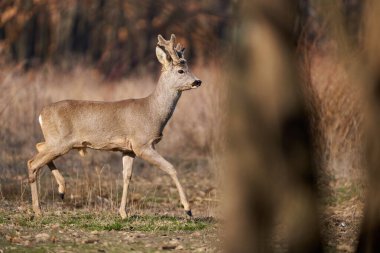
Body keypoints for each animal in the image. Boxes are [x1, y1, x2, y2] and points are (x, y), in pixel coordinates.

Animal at [27, 34, 202, 218]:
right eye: (181, 70)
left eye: (188, 67)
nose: (198, 81)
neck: (151, 111)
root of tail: (41, 114)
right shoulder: (142, 144)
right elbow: (171, 168)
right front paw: (188, 209)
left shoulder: (128, 149)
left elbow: (127, 177)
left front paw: (123, 212)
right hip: (60, 141)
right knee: (32, 162)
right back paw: (38, 209)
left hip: (55, 141)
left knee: (39, 146)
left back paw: (61, 190)